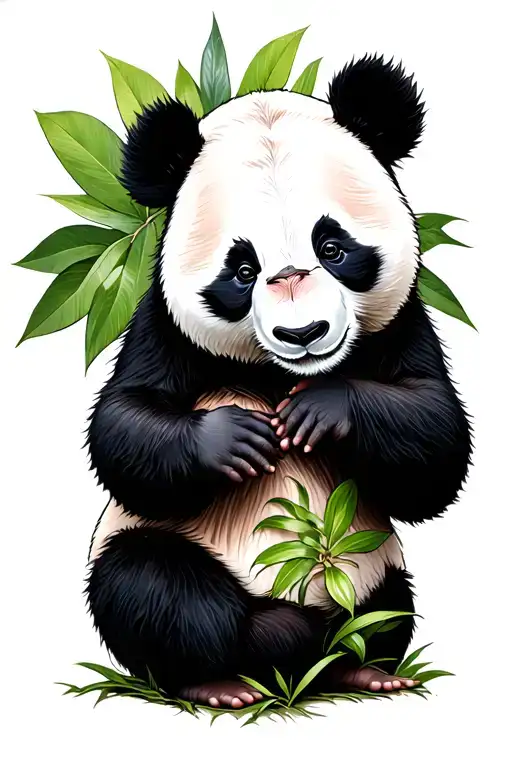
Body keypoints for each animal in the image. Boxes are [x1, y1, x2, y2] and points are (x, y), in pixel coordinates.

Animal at [86, 54, 472, 709]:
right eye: (242, 270)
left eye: (333, 247)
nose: (304, 332)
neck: (276, 374)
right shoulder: (162, 325)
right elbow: (125, 424)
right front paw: (236, 438)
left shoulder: (401, 323)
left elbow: (434, 442)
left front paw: (321, 411)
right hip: (167, 554)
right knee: (154, 589)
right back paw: (230, 671)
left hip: (374, 562)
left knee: (389, 607)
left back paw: (361, 668)